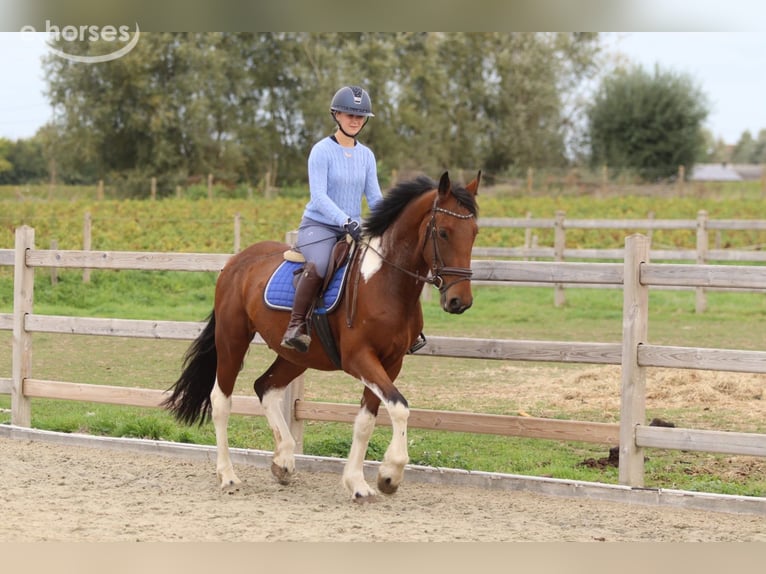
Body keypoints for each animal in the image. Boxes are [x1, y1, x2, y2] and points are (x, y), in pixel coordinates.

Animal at [162, 170, 481, 501]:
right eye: (443, 232)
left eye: (474, 232)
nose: (459, 301)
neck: (384, 282)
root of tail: (237, 262)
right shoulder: (359, 359)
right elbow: (399, 407)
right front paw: (390, 475)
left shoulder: (390, 363)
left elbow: (366, 421)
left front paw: (358, 482)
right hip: (232, 339)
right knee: (221, 401)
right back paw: (228, 475)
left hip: (297, 355)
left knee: (266, 387)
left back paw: (283, 461)